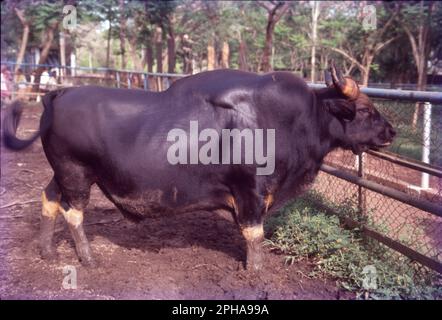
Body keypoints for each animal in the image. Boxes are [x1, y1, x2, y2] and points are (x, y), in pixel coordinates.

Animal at [2, 64, 398, 270]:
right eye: (365, 110)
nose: (391, 131)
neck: (286, 120)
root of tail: (60, 93)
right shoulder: (251, 193)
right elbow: (254, 235)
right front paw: (256, 272)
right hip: (77, 173)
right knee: (74, 212)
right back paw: (87, 259)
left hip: (62, 174)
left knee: (49, 198)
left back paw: (47, 250)